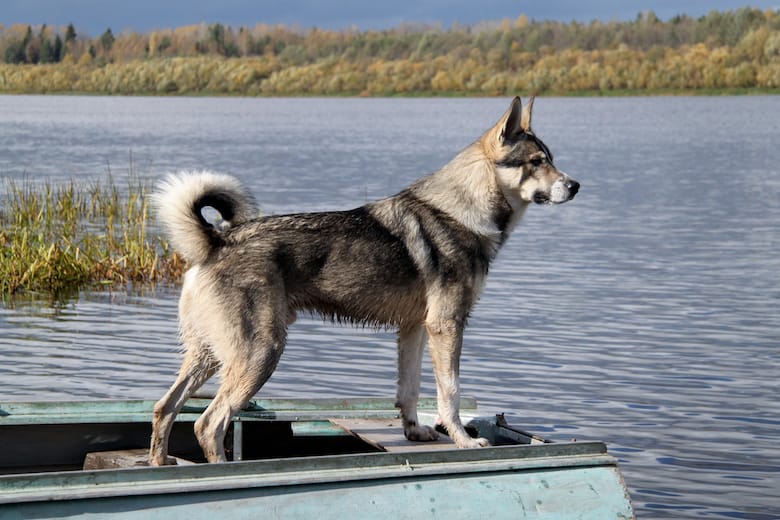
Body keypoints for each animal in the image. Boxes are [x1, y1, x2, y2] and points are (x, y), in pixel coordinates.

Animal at [151, 96, 580, 464]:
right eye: (537, 161)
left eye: (551, 160)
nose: (575, 186)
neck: (464, 209)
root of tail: (216, 241)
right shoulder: (447, 326)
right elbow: (450, 393)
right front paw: (463, 440)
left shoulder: (415, 329)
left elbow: (410, 390)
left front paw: (414, 433)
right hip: (260, 353)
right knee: (209, 423)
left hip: (208, 355)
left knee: (164, 408)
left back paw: (161, 463)